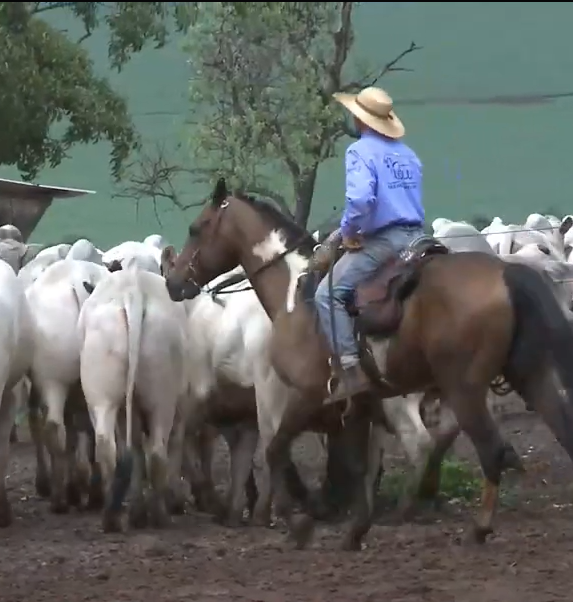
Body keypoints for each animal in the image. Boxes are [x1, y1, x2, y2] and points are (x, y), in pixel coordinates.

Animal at [77, 264, 188, 528]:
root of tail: (132, 290)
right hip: (163, 400)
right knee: (157, 451)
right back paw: (159, 515)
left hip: (102, 395)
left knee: (108, 446)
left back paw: (113, 517)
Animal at [164, 176, 573, 548]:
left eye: (196, 228)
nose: (173, 281)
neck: (295, 295)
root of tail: (505, 272)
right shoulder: (358, 403)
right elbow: (358, 466)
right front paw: (355, 530)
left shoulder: (305, 395)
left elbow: (276, 450)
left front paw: (299, 525)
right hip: (529, 377)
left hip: (464, 389)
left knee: (486, 450)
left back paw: (474, 528)